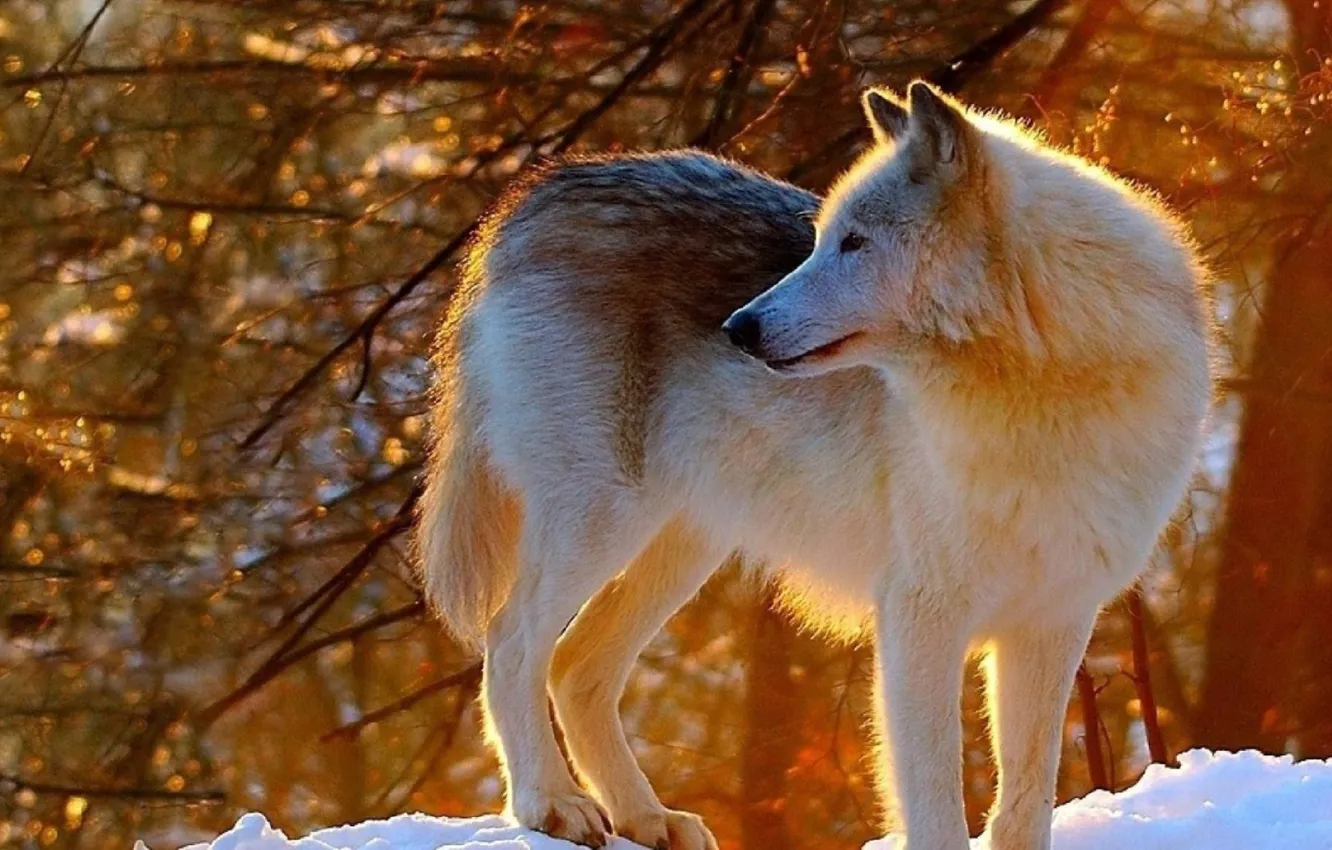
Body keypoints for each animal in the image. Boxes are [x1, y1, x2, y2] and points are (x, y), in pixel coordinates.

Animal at [418, 81, 1212, 850]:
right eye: (821, 240)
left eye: (853, 243)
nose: (737, 327)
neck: (1039, 388)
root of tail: (538, 192)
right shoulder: (919, 616)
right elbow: (935, 804)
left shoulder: (1052, 623)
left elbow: (1023, 805)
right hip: (602, 523)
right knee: (511, 645)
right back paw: (552, 806)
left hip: (682, 546)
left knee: (575, 667)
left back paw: (647, 818)